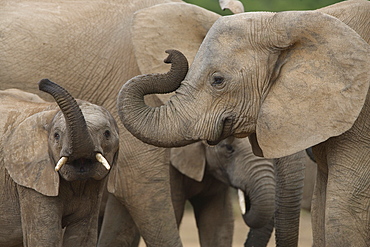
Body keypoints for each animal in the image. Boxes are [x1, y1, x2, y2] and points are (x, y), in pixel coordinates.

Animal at [0, 79, 118, 247]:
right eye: (56, 136)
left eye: (107, 133)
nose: (43, 82)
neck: (51, 111)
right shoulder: (30, 182)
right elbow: (45, 238)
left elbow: (82, 237)